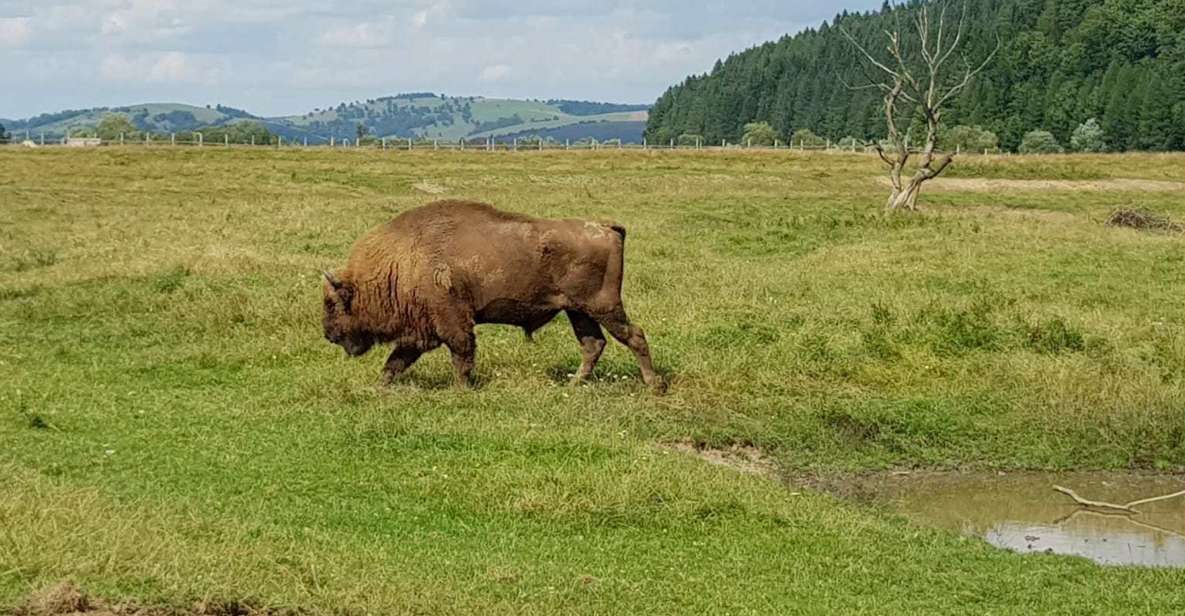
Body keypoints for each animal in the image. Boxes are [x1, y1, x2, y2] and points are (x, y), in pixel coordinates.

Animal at [319, 200, 663, 390]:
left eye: (332, 303)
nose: (329, 335)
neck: (399, 262)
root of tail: (606, 227)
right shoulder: (419, 331)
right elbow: (395, 362)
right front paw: (379, 387)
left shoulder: (452, 322)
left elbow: (461, 355)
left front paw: (461, 390)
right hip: (578, 311)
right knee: (593, 344)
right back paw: (574, 383)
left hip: (603, 306)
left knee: (634, 336)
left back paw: (653, 385)